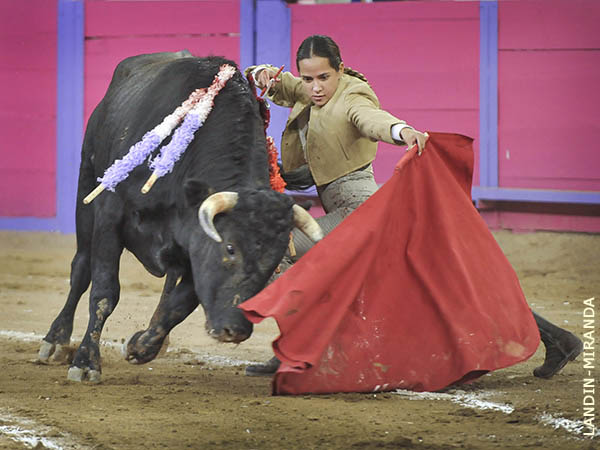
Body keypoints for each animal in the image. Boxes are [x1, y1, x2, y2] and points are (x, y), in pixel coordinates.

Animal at [39, 53, 322, 384]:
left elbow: (180, 304)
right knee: (81, 268)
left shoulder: (194, 248)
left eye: (275, 261)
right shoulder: (110, 216)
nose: (235, 330)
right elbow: (104, 292)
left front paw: (141, 346)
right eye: (230, 248)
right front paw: (85, 362)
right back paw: (56, 341)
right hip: (86, 186)